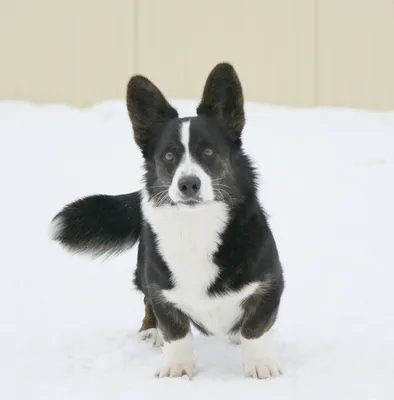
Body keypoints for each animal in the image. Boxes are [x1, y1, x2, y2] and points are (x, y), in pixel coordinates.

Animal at [50, 61, 284, 378]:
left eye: (208, 151)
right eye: (169, 156)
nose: (188, 184)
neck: (196, 225)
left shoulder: (270, 284)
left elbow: (255, 327)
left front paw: (260, 364)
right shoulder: (160, 286)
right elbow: (176, 329)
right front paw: (177, 367)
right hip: (143, 268)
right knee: (147, 303)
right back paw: (150, 331)